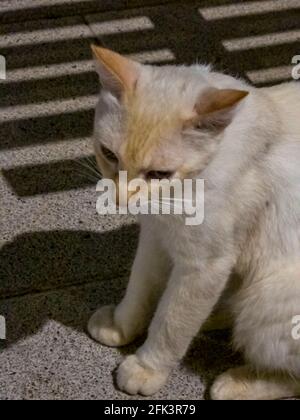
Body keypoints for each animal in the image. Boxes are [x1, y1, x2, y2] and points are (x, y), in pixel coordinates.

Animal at [87, 46, 300, 400]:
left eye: (159, 174)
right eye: (109, 154)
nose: (120, 199)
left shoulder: (205, 265)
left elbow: (171, 323)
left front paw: (146, 368)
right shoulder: (155, 238)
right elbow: (140, 289)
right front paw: (120, 325)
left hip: (266, 300)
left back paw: (236, 382)